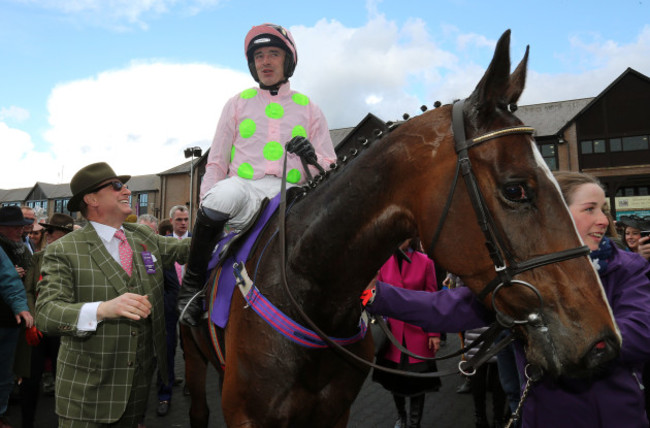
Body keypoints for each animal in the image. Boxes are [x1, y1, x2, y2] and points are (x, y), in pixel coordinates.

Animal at [181, 28, 616, 426]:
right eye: (516, 188)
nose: (603, 342)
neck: (307, 293)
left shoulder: (333, 412)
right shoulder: (247, 415)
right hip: (193, 358)